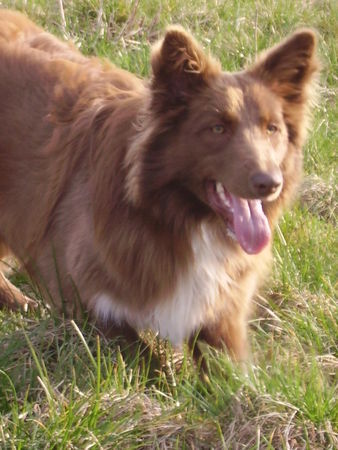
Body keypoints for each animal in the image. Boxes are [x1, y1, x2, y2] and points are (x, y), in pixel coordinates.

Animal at [0, 10, 316, 360]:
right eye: (217, 128)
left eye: (272, 128)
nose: (270, 183)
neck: (176, 220)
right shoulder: (84, 298)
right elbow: (146, 359)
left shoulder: (221, 314)